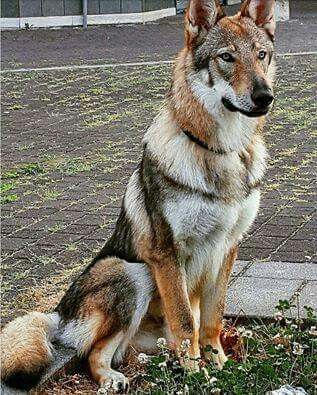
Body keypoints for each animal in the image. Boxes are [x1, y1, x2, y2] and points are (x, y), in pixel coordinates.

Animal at [1, 0, 276, 392]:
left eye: (261, 55)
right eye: (227, 57)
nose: (265, 97)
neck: (220, 153)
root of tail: (60, 312)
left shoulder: (228, 247)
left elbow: (211, 320)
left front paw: (222, 367)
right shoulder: (166, 253)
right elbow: (185, 323)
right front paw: (198, 376)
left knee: (130, 349)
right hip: (133, 273)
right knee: (94, 354)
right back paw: (115, 378)